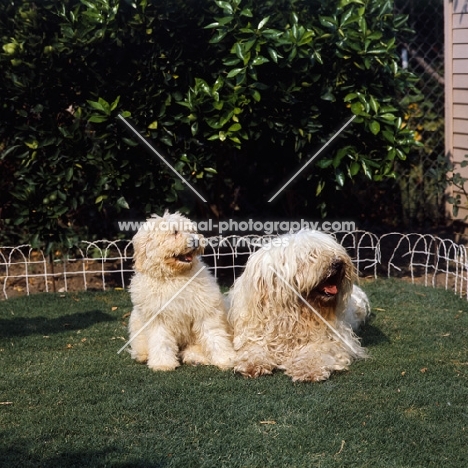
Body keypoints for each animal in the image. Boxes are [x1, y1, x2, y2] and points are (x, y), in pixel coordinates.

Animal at [128, 210, 236, 372]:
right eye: (175, 232)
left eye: (191, 231)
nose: (196, 241)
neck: (174, 277)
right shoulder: (157, 318)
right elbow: (161, 341)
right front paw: (163, 363)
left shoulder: (205, 310)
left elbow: (214, 335)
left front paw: (226, 359)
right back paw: (142, 355)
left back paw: (195, 357)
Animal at [227, 229, 370, 380]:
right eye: (311, 255)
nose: (338, 263)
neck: (293, 314)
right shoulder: (255, 333)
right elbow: (254, 348)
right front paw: (252, 363)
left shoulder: (330, 338)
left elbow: (317, 350)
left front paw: (308, 368)